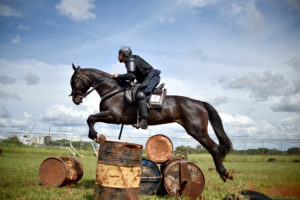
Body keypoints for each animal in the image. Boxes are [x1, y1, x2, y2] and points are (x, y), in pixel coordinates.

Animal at [69, 63, 233, 181]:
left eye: (74, 81)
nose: (76, 100)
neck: (112, 89)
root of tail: (200, 103)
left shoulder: (113, 116)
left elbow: (90, 118)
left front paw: (96, 136)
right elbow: (90, 118)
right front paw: (97, 136)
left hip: (197, 130)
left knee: (214, 148)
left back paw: (224, 173)